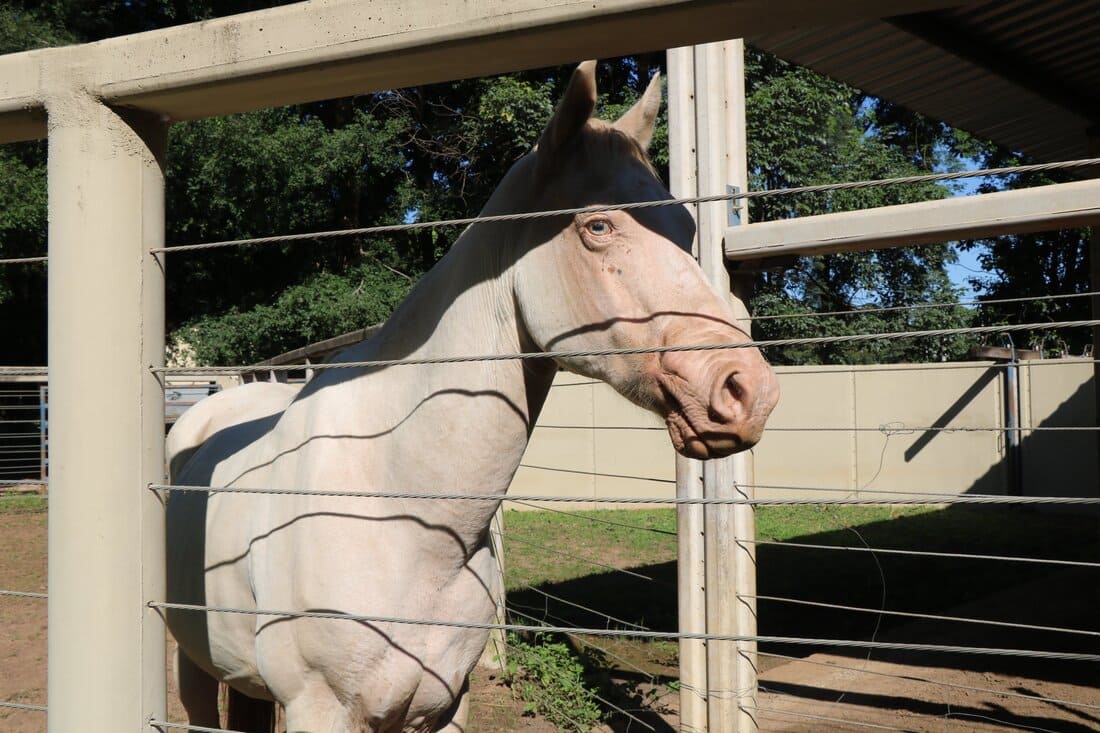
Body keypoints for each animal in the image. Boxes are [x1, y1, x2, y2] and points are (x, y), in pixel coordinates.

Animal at [167, 62, 778, 730]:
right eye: (598, 226)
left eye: (686, 228)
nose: (747, 390)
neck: (407, 515)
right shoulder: (320, 707)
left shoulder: (446, 703)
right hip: (193, 664)